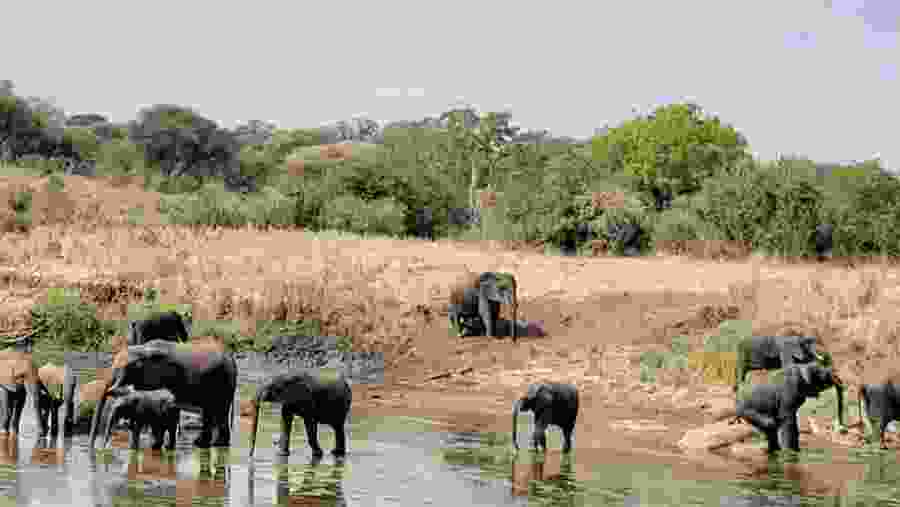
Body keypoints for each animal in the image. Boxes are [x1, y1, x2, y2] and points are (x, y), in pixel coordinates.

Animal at [88, 339, 237, 449]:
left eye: (125, 368)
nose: (95, 447)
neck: (141, 349)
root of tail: (231, 358)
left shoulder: (160, 376)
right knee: (211, 411)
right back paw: (207, 444)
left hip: (223, 382)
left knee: (219, 410)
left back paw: (211, 444)